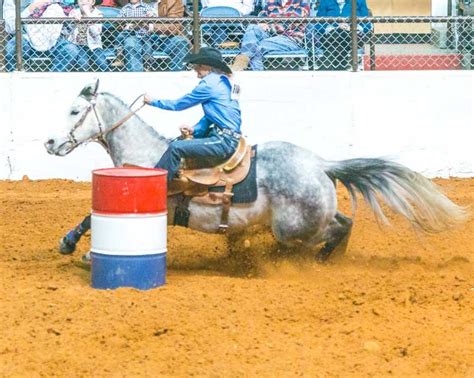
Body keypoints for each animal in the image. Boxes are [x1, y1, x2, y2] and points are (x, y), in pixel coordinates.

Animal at [44, 79, 466, 262]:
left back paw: (312, 259)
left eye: (74, 110)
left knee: (329, 231)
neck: (148, 153)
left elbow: (90, 217)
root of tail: (320, 164)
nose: (49, 143)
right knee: (344, 222)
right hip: (313, 215)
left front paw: (72, 246)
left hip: (294, 226)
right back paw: (328, 259)